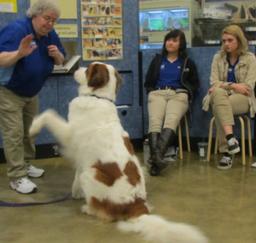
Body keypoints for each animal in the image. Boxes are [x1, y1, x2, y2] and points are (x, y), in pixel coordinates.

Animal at [29, 62, 208, 243]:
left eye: (87, 70)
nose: (77, 68)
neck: (97, 97)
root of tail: (136, 204)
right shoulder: (81, 154)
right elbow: (77, 170)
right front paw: (76, 190)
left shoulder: (69, 135)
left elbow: (49, 114)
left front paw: (32, 127)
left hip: (92, 173)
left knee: (104, 212)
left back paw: (88, 208)